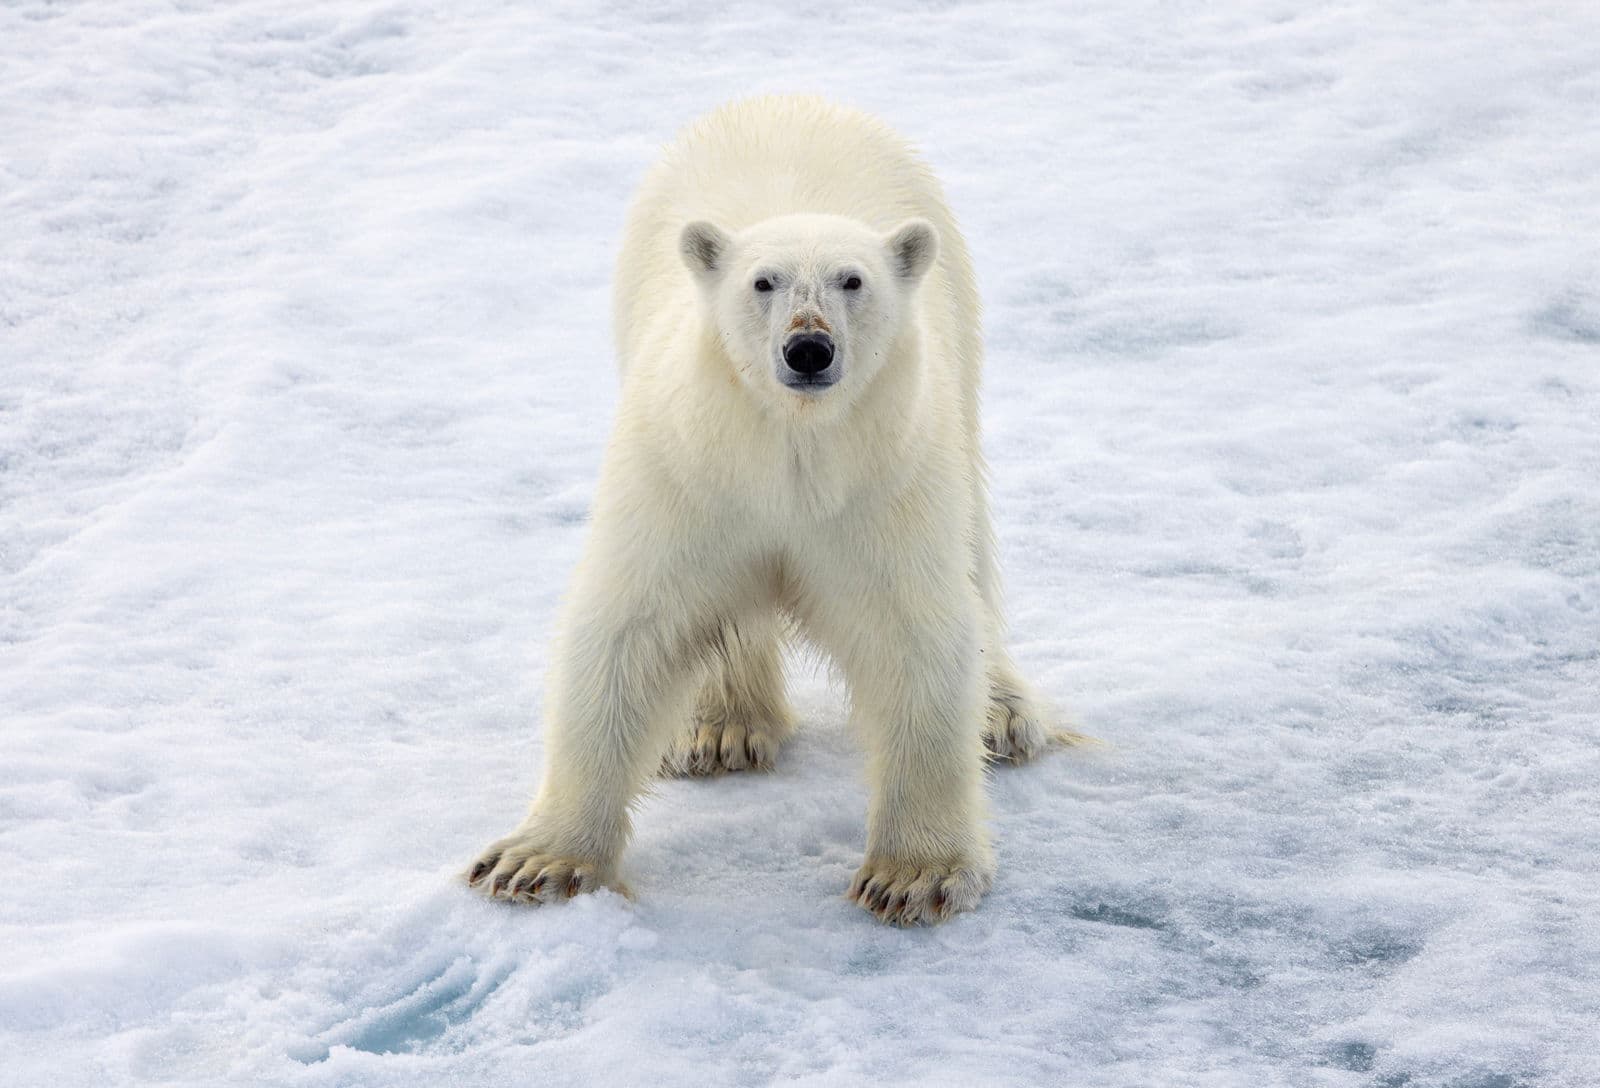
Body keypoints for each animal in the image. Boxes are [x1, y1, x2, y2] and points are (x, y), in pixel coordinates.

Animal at [467, 95, 1056, 925]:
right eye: (763, 282)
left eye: (852, 279)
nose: (808, 349)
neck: (790, 451)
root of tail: (790, 96)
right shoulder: (689, 472)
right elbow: (629, 624)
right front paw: (536, 860)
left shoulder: (880, 485)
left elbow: (916, 631)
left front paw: (914, 875)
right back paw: (719, 728)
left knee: (972, 547)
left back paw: (1004, 716)